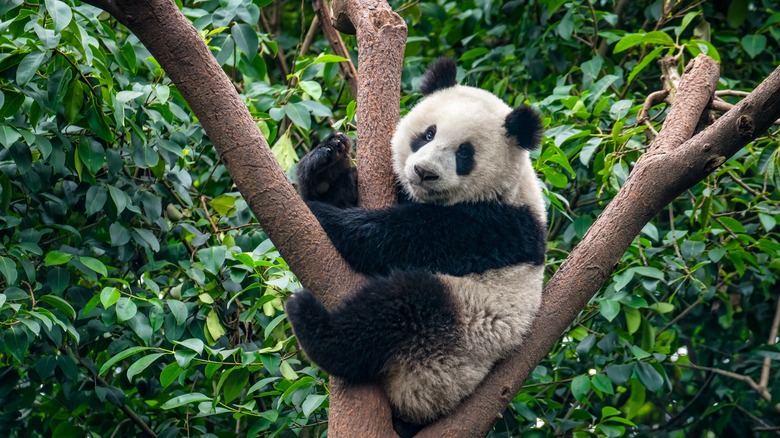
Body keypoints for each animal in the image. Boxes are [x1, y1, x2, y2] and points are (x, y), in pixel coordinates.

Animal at [285, 58, 546, 433]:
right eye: (428, 134)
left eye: (464, 154)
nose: (424, 172)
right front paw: (326, 168)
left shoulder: (496, 225)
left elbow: (402, 238)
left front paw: (325, 216)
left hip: (456, 342)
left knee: (404, 304)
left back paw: (313, 324)